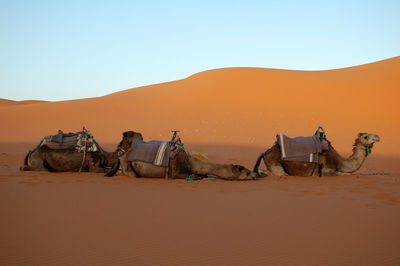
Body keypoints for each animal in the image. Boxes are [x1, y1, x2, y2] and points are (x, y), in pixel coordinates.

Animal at [104, 131, 258, 181]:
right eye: (246, 171)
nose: (256, 174)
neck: (191, 162)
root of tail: (121, 154)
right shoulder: (175, 172)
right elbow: (194, 176)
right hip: (127, 166)